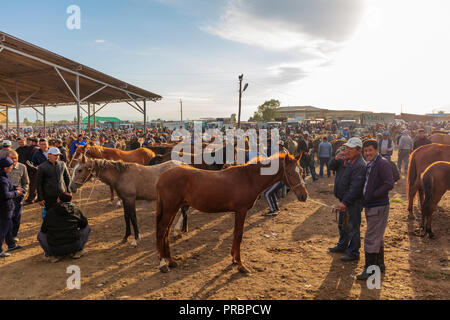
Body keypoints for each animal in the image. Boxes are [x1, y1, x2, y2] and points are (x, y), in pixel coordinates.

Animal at [153, 152, 308, 272]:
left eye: (301, 171)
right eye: (290, 172)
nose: (304, 196)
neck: (248, 179)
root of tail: (162, 177)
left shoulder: (238, 212)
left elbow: (235, 233)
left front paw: (233, 259)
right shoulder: (241, 211)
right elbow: (238, 235)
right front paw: (240, 264)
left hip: (173, 209)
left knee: (166, 231)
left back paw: (171, 261)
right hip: (170, 209)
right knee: (161, 231)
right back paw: (162, 264)